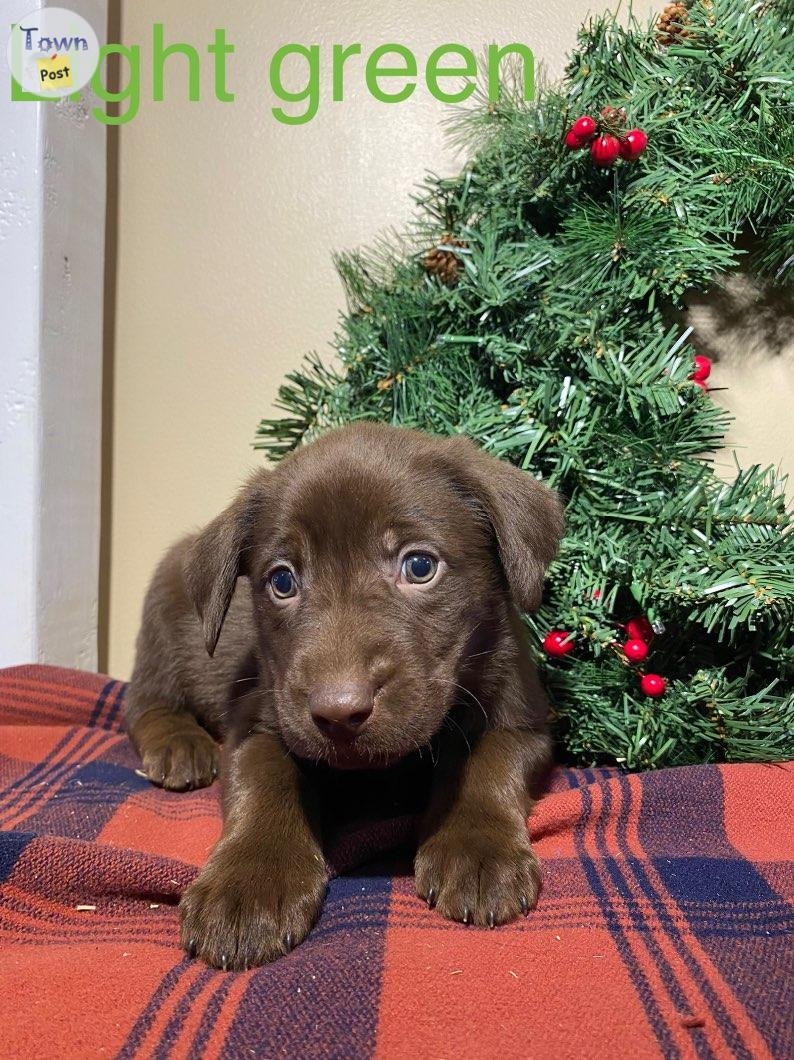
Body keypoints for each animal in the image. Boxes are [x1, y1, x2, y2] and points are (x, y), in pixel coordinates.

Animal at [124, 423, 563, 970]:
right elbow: (264, 779)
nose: (338, 712)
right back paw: (179, 747)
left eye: (420, 566)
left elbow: (490, 760)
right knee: (143, 704)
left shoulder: (524, 717)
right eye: (282, 580)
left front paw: (477, 849)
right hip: (161, 630)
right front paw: (248, 881)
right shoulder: (260, 718)